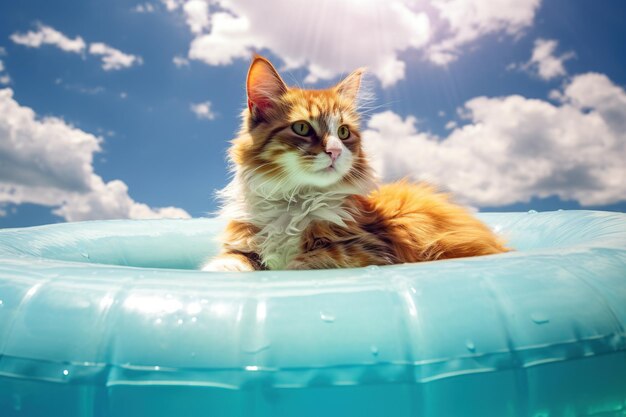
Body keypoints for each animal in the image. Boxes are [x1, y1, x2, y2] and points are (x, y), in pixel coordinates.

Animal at [204, 54, 508, 270]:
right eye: (302, 128)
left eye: (343, 132)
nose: (335, 152)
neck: (294, 200)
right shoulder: (241, 248)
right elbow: (226, 265)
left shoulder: (365, 249)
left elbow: (302, 263)